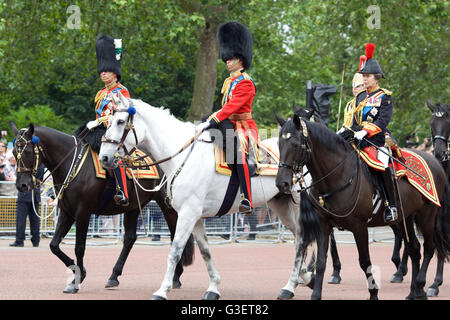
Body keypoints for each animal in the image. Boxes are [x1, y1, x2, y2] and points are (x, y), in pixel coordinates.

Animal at [10, 122, 193, 292]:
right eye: (13, 153)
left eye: (27, 151)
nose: (22, 186)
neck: (73, 164)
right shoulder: (67, 212)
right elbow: (54, 245)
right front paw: (78, 271)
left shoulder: (83, 213)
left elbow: (79, 247)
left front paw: (77, 280)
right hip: (133, 206)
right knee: (130, 239)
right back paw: (114, 276)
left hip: (167, 205)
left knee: (175, 236)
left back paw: (175, 277)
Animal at [98, 93, 312, 300]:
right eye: (108, 123)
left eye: (120, 122)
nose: (104, 158)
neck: (182, 156)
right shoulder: (195, 216)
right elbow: (205, 251)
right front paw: (213, 287)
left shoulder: (188, 213)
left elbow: (175, 251)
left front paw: (162, 290)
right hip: (281, 205)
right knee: (299, 238)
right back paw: (303, 277)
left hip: (300, 205)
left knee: (304, 238)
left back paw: (292, 285)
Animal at [276, 115, 448, 300]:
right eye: (279, 144)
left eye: (295, 144)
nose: (281, 183)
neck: (337, 175)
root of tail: (435, 161)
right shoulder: (324, 225)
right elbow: (321, 261)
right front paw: (315, 295)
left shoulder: (359, 227)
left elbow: (364, 261)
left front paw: (373, 294)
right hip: (406, 218)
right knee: (414, 249)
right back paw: (414, 292)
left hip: (427, 215)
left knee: (430, 247)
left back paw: (423, 285)